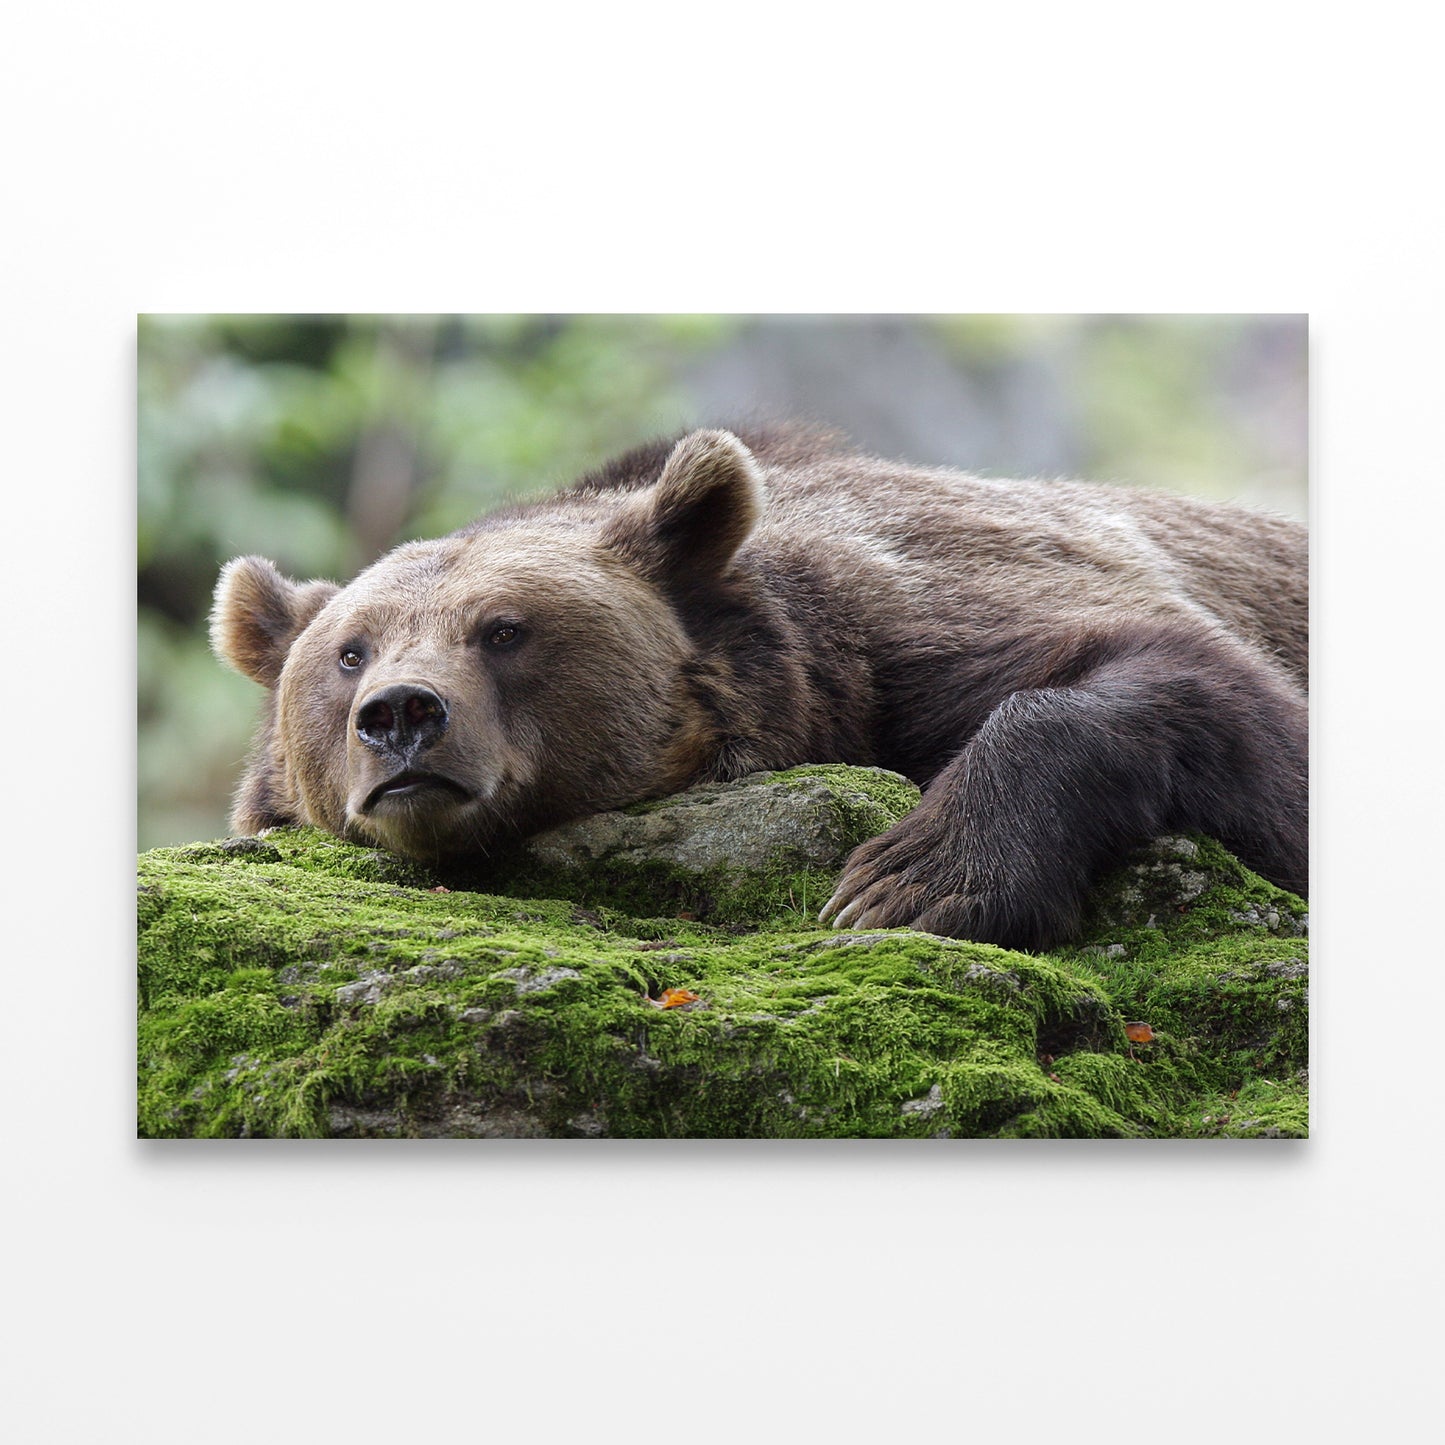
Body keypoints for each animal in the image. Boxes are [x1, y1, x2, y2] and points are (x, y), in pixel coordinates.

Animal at [211, 424, 1307, 951]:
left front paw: (910, 879)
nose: (402, 714)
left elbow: (1197, 683)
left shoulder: (909, 622)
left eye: (504, 629)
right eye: (351, 651)